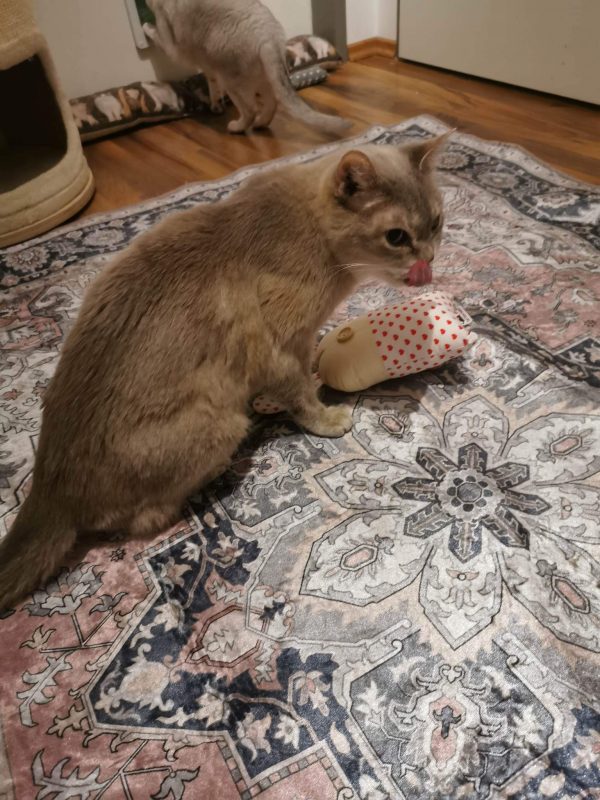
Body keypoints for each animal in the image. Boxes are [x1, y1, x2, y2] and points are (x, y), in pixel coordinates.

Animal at [0, 134, 447, 609]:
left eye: (437, 222)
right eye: (397, 237)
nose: (429, 260)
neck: (313, 233)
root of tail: (48, 491)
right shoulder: (277, 347)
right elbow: (300, 393)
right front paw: (327, 416)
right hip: (220, 424)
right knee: (145, 520)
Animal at [142, 0, 351, 135]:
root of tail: (267, 35)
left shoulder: (171, 45)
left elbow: (154, 32)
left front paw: (146, 25)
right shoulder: (209, 66)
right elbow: (212, 87)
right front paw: (216, 106)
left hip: (232, 81)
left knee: (251, 109)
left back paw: (237, 127)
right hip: (262, 76)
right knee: (272, 102)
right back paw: (260, 124)